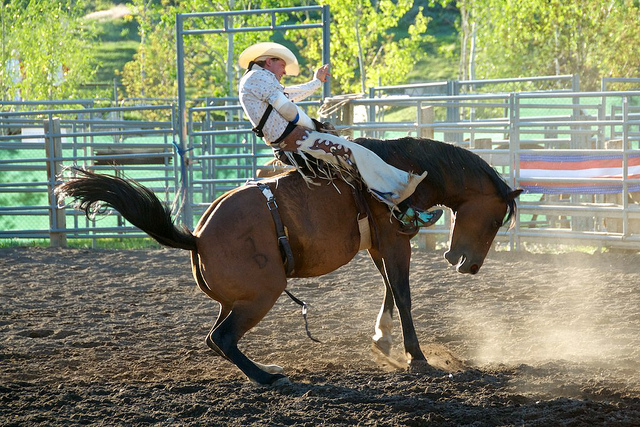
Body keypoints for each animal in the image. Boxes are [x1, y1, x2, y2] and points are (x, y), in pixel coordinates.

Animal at [56, 138, 520, 388]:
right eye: (496, 220)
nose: (467, 266)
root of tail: (198, 236)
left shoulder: (379, 245)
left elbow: (389, 288)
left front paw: (383, 339)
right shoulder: (394, 240)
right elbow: (403, 294)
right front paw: (416, 357)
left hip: (239, 299)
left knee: (216, 339)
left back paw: (265, 369)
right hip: (263, 295)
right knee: (221, 338)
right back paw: (268, 378)